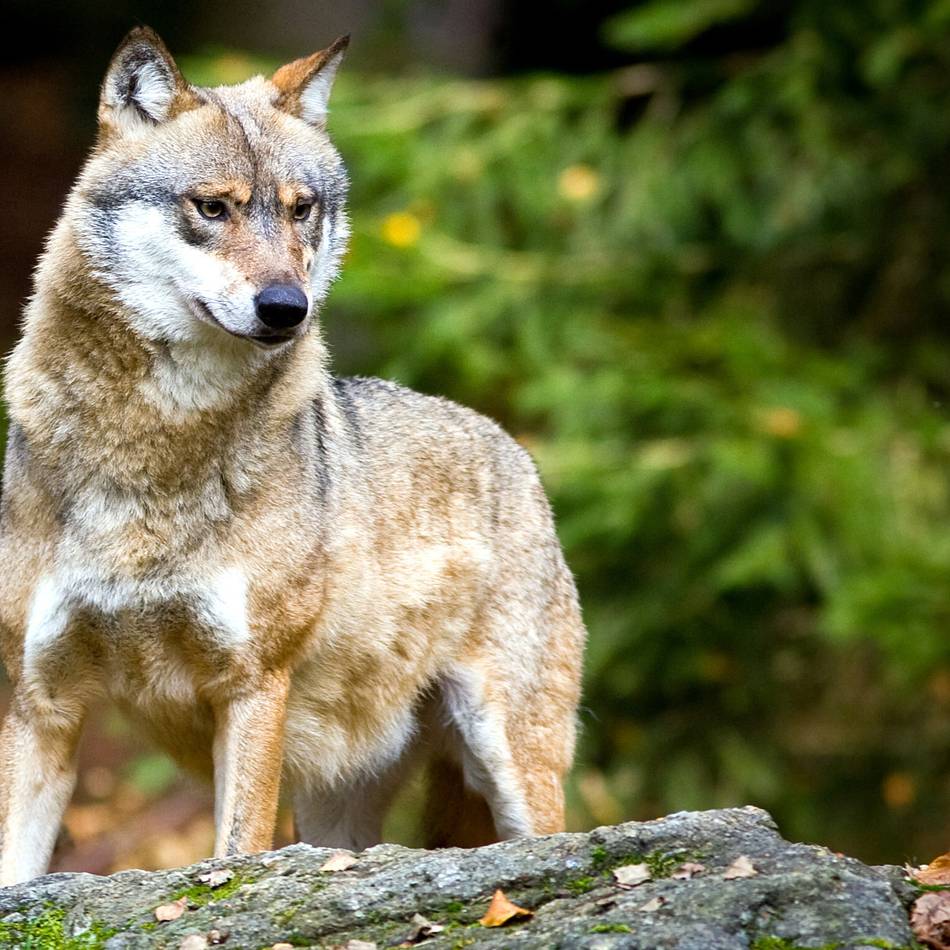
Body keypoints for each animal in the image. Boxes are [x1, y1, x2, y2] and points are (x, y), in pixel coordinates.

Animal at [0, 27, 586, 884]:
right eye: (213, 207)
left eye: (300, 209)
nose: (287, 308)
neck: (151, 449)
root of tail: (515, 449)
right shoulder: (40, 699)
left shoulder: (253, 687)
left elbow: (236, 851)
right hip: (334, 811)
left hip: (509, 765)